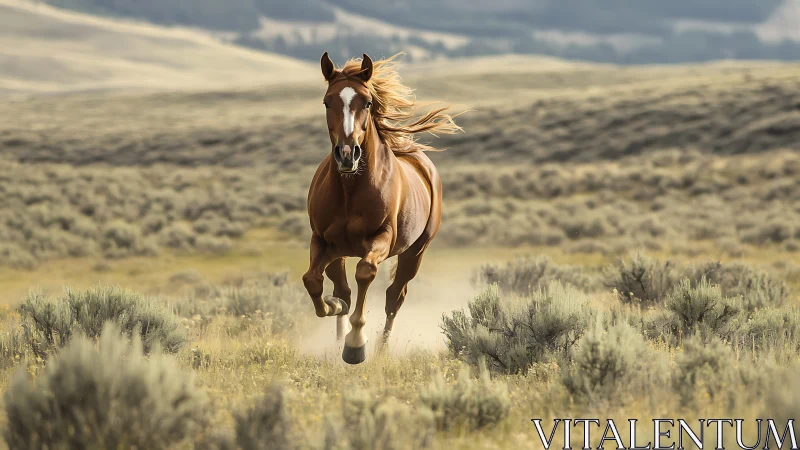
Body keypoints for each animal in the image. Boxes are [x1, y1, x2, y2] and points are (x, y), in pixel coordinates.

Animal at [302, 52, 462, 364]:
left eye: (367, 102)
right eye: (327, 101)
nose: (347, 155)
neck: (350, 191)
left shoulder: (382, 239)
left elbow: (365, 273)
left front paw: (355, 345)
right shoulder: (322, 241)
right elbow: (313, 281)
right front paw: (333, 308)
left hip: (415, 252)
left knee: (394, 297)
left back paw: (380, 348)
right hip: (339, 251)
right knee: (343, 288)